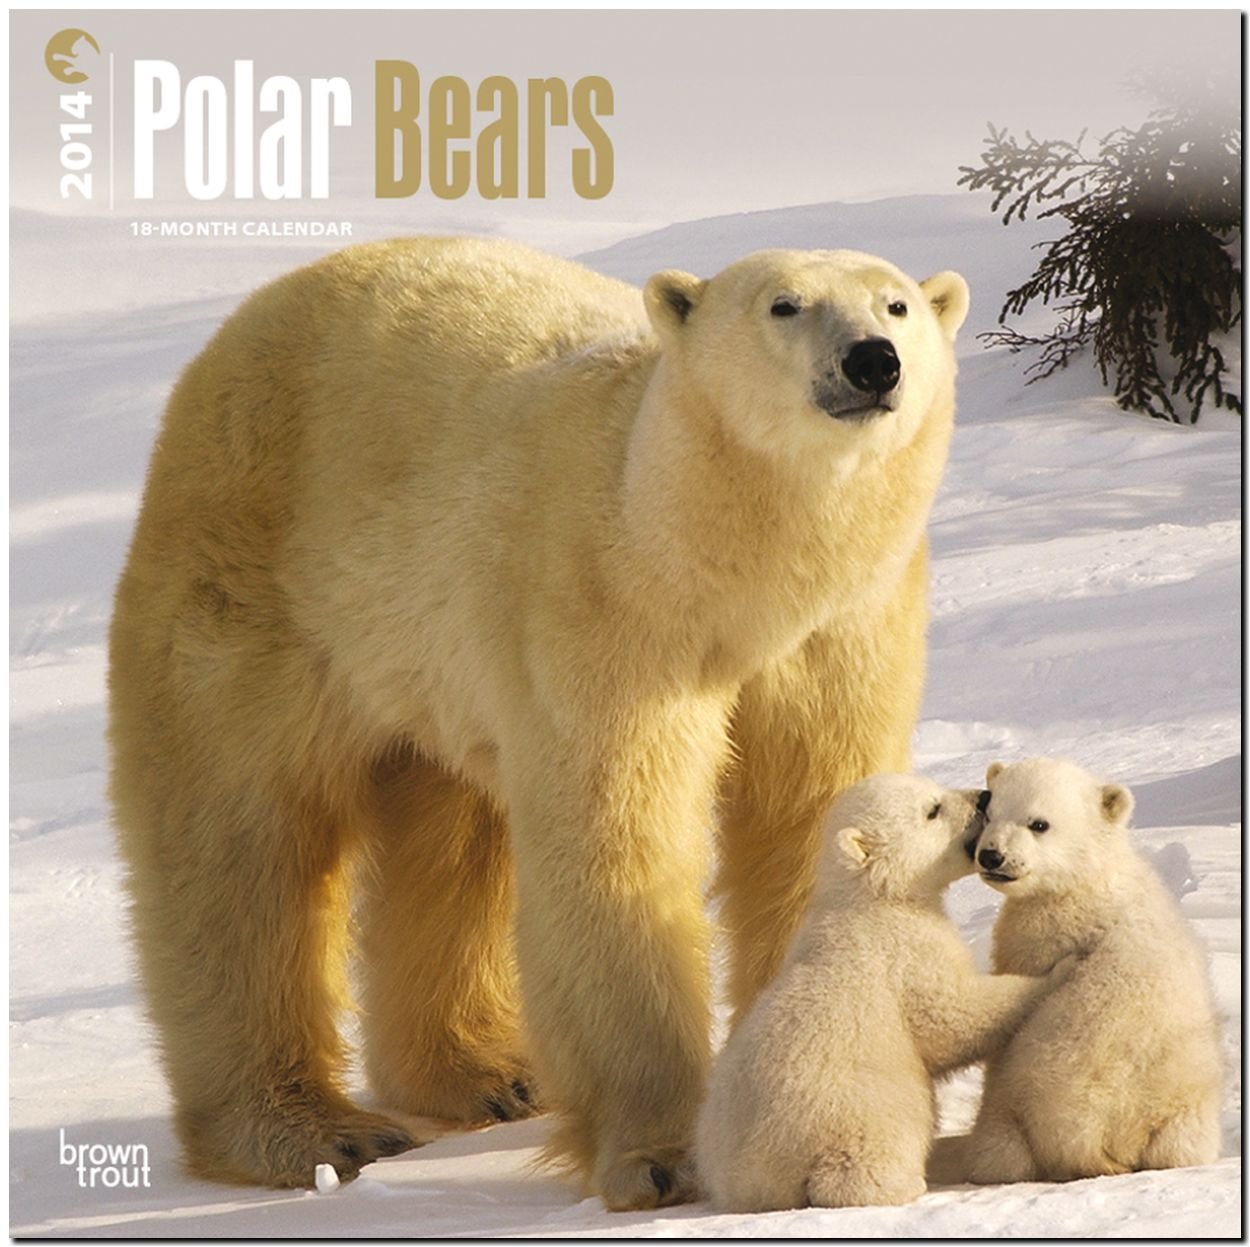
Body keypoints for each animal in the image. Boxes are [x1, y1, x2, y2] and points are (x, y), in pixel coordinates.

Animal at [107, 237, 969, 1208]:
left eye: (896, 305)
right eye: (784, 305)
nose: (872, 361)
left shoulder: (847, 629)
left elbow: (809, 816)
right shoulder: (607, 611)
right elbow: (617, 847)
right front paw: (659, 1158)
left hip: (432, 666)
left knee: (456, 841)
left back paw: (489, 1073)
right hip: (256, 582)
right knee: (239, 847)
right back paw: (311, 1129)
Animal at [694, 773, 1072, 1213]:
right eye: (932, 810)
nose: (983, 797)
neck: (871, 898)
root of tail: (757, 1171)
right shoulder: (905, 950)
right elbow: (952, 1017)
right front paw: (1058, 969)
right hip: (853, 1112)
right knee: (861, 1158)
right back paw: (902, 1183)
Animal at [957, 757, 1223, 1183]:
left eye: (1039, 823)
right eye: (990, 814)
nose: (992, 856)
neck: (1086, 880)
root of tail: (1094, 1139)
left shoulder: (1040, 936)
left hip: (1015, 1100)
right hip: (1186, 1115)